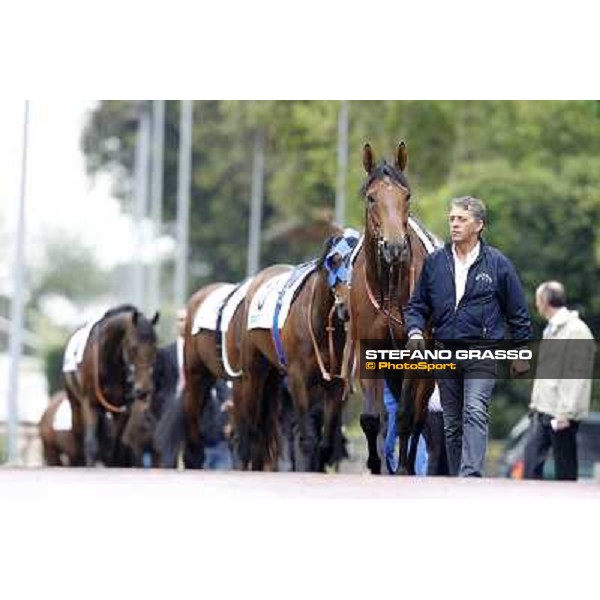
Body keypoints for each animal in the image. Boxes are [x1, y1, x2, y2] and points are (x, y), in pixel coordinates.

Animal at [63, 302, 159, 466]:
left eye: (155, 347)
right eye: (133, 347)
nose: (144, 389)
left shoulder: (122, 408)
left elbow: (115, 445)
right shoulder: (89, 404)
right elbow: (91, 444)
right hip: (75, 404)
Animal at [239, 232, 358, 472]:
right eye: (334, 260)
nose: (346, 308)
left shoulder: (334, 384)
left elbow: (325, 444)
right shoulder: (298, 379)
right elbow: (305, 440)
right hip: (252, 374)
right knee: (253, 431)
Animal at [350, 143, 434, 476]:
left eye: (406, 196)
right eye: (372, 197)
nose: (394, 247)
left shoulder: (414, 350)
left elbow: (407, 416)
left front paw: (402, 467)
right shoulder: (368, 347)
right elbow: (372, 419)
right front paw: (375, 465)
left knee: (419, 415)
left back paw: (407, 464)